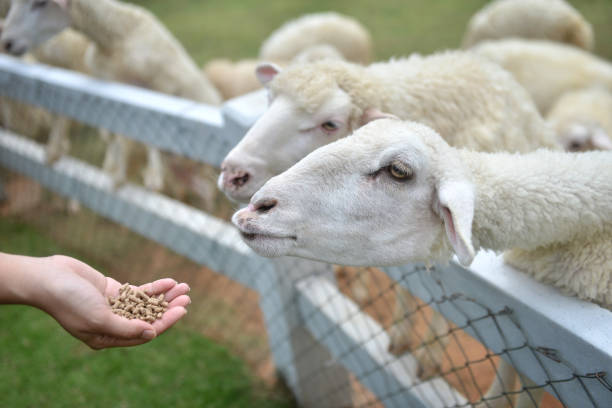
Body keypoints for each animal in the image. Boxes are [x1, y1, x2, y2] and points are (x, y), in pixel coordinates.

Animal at [1, 0, 222, 191]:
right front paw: (117, 176)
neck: (114, 36)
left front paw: (153, 176)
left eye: (41, 3)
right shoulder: (117, 93)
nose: (7, 42)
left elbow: (153, 137)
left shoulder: (160, 86)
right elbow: (119, 135)